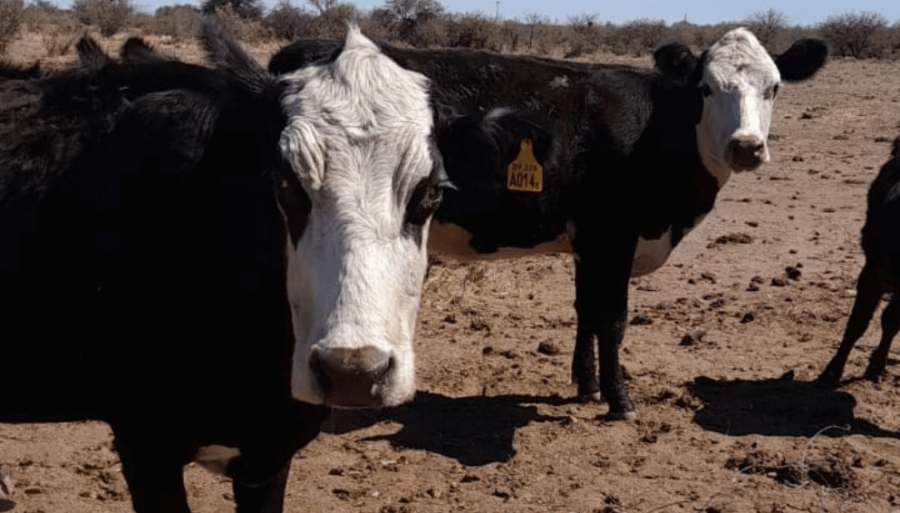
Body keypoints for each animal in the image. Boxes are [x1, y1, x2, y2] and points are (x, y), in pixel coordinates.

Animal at [269, 27, 828, 420]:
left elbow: (586, 312)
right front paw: (619, 401)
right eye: (707, 89)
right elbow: (613, 319)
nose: (747, 147)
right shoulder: (614, 237)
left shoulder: (590, 244)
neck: (656, 128)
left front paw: (587, 384)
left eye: (774, 87)